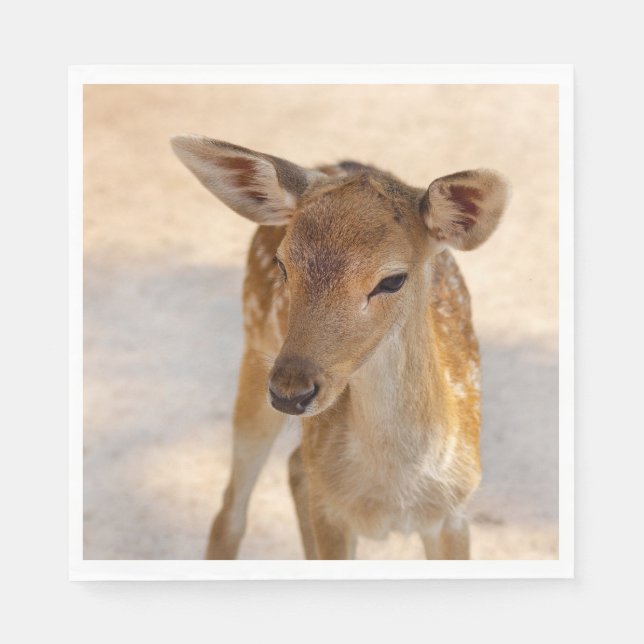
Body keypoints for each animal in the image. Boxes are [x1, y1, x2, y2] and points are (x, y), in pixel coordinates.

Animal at [171, 134, 509, 560]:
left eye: (393, 279)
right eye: (283, 265)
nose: (290, 392)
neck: (391, 494)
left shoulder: (455, 512)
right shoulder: (332, 512)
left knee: (295, 467)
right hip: (254, 351)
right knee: (231, 511)